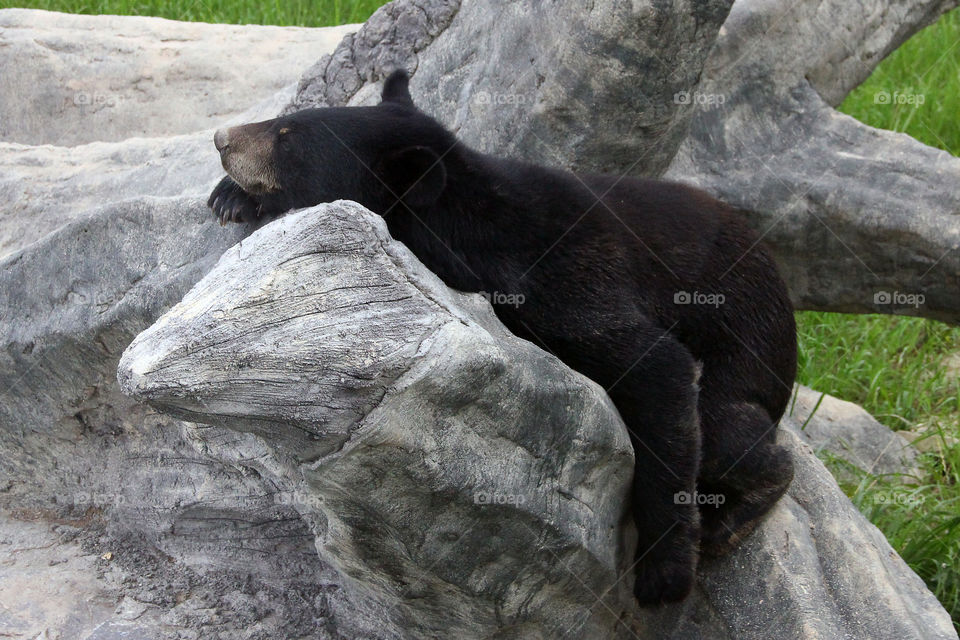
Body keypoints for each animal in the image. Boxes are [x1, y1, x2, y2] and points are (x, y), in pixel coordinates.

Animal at [208, 70, 796, 604]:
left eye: (289, 137)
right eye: (285, 122)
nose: (221, 138)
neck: (468, 220)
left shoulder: (564, 278)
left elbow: (657, 365)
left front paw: (664, 572)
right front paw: (230, 197)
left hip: (746, 352)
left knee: (726, 432)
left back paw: (732, 517)